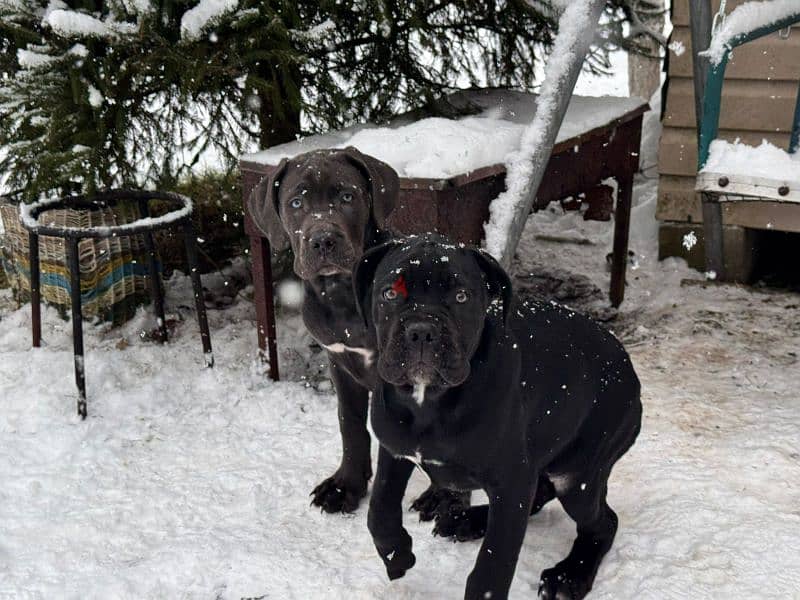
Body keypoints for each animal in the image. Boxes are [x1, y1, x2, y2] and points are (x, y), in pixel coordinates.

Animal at [356, 236, 644, 600]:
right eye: (390, 293)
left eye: (461, 297)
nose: (421, 331)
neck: (428, 401)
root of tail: (629, 369)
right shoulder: (395, 449)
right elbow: (378, 509)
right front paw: (397, 555)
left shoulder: (512, 480)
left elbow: (494, 562)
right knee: (541, 495)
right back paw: (468, 520)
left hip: (578, 475)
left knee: (603, 523)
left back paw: (569, 576)